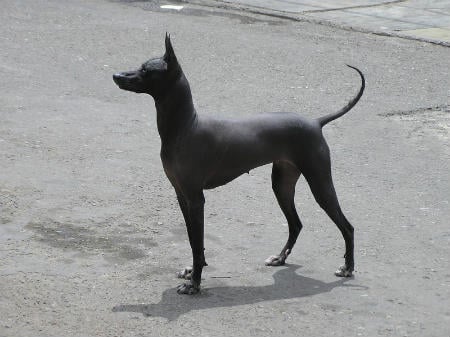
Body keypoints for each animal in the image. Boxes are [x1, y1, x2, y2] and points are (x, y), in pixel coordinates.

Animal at [112, 32, 366, 292]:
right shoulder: (182, 196)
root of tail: (316, 122)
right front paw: (193, 272)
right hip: (282, 184)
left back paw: (348, 267)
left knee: (347, 227)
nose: (116, 76)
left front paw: (195, 284)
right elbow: (193, 240)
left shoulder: (196, 199)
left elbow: (197, 243)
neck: (185, 127)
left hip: (320, 184)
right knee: (296, 224)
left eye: (145, 70)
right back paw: (280, 257)